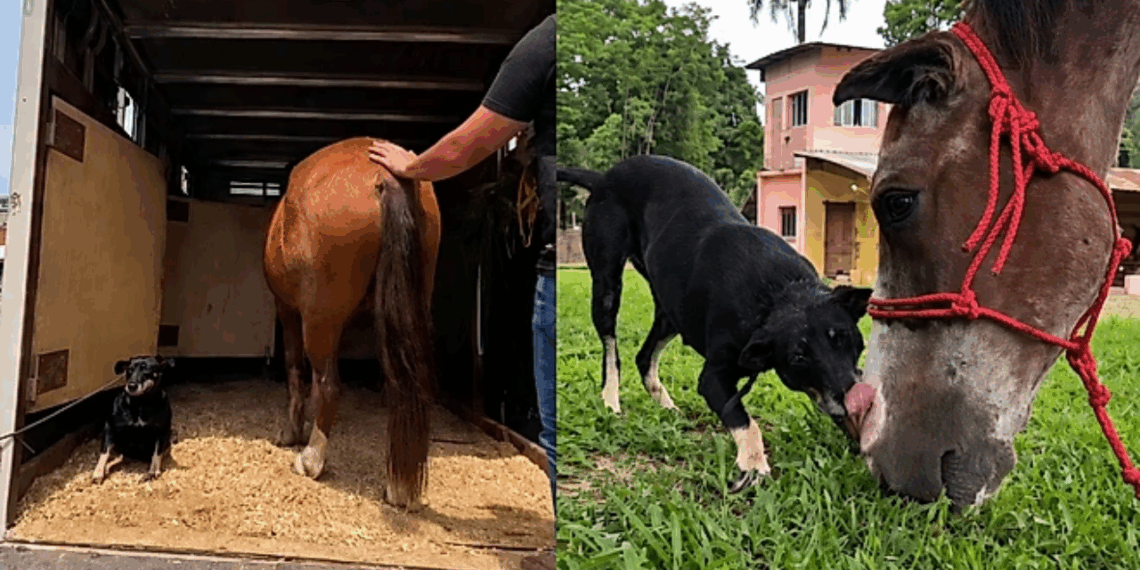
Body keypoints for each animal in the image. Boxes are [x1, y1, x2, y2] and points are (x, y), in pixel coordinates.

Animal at [262, 136, 441, 509]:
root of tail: (384, 174)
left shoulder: (288, 312)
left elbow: (295, 372)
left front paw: (292, 432)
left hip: (317, 320)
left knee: (329, 384)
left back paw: (311, 459)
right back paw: (398, 487)